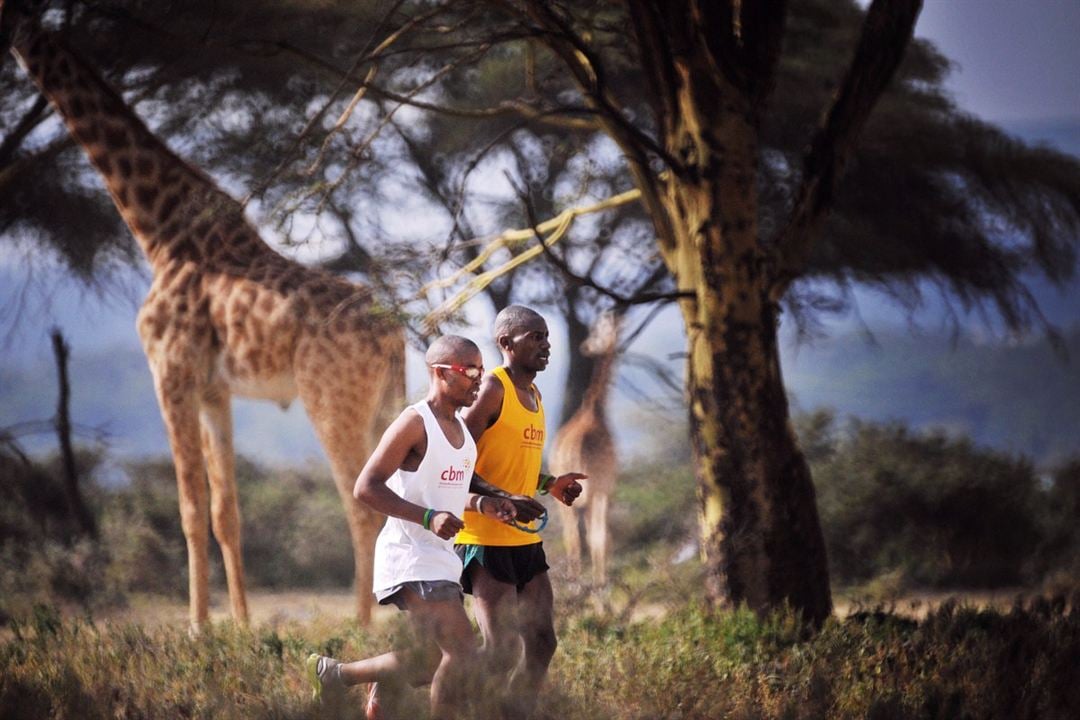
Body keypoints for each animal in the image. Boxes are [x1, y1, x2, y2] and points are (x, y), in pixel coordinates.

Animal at [2, 2, 403, 626]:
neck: (159, 231)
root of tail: (394, 334)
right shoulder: (216, 390)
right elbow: (225, 512)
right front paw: (240, 623)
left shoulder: (170, 373)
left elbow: (189, 507)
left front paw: (198, 627)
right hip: (387, 404)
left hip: (331, 400)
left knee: (363, 506)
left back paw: (362, 627)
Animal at [552, 310, 622, 587]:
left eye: (598, 328)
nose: (585, 346)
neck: (595, 409)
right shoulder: (605, 487)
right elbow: (599, 537)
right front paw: (601, 580)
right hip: (592, 492)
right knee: (588, 537)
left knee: (573, 537)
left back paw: (575, 581)